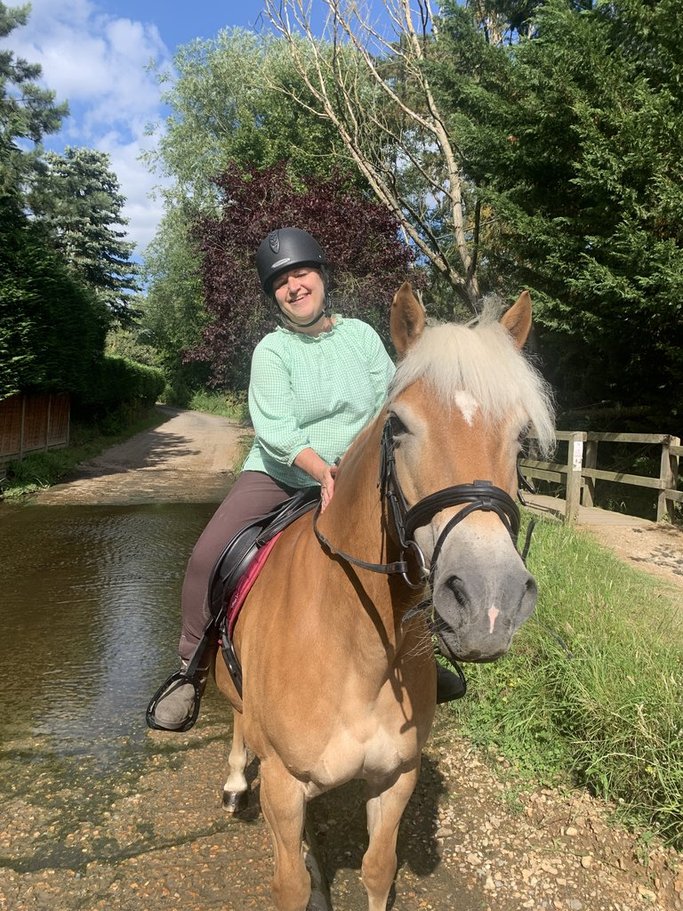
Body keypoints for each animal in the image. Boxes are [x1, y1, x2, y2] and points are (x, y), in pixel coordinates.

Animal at [213, 282, 555, 911]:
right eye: (397, 425)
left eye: (520, 436)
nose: (489, 602)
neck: (357, 650)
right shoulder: (283, 785)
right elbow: (292, 882)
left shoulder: (397, 777)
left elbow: (378, 868)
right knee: (236, 714)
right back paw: (231, 778)